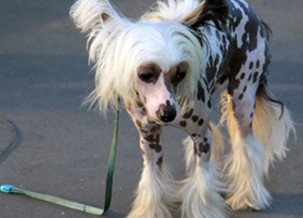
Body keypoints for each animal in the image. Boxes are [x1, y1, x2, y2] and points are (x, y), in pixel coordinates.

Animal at [70, 0, 294, 216]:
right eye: (145, 75)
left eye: (180, 74)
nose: (168, 114)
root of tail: (246, 6)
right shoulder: (149, 138)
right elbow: (152, 179)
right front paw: (152, 211)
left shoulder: (201, 138)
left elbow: (202, 178)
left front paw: (202, 210)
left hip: (243, 97)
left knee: (247, 147)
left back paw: (248, 196)